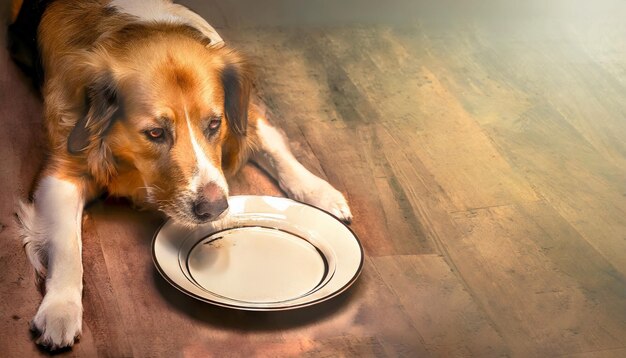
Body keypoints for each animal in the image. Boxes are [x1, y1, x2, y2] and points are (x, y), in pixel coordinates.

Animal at [8, 0, 352, 350]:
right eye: (155, 133)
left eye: (214, 124)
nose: (215, 209)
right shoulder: (61, 168)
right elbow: (66, 244)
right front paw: (60, 308)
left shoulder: (245, 116)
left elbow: (276, 147)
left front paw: (318, 191)